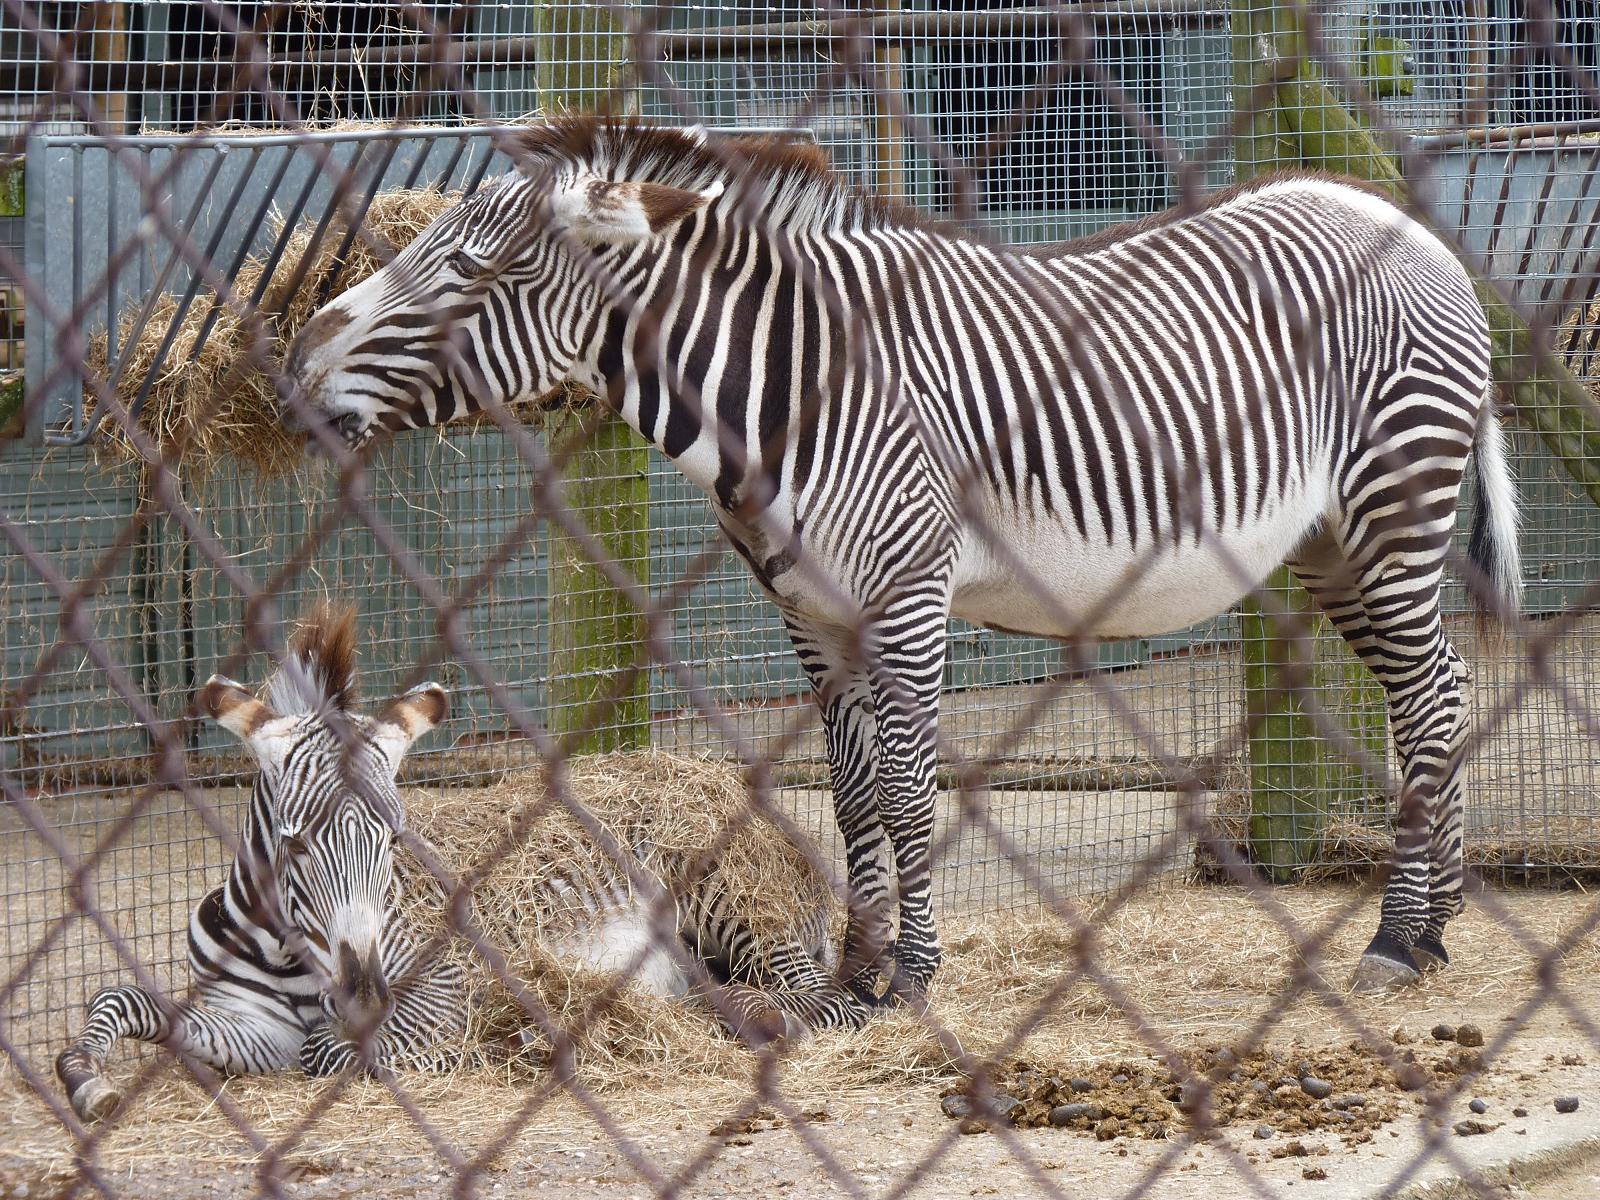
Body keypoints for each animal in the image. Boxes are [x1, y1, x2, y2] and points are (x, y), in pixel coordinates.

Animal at [55, 605, 463, 1122]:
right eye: (294, 846)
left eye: (392, 840)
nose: (365, 1002)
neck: (288, 955)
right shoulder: (258, 1028)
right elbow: (125, 998)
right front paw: (84, 1075)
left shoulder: (443, 986)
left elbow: (325, 1047)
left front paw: (440, 1058)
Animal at [282, 119, 1520, 1002]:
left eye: (464, 271)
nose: (290, 368)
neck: (790, 384)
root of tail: (1407, 223)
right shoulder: (813, 617)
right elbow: (851, 798)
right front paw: (852, 975)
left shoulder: (909, 595)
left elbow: (912, 794)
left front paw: (913, 976)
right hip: (1333, 543)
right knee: (1435, 696)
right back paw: (1434, 927)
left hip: (1393, 505)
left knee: (1427, 703)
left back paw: (1396, 938)